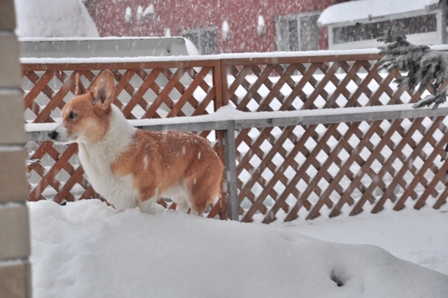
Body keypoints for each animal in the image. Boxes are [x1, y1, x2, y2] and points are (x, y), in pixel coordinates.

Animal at [49, 70, 224, 214]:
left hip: (196, 192)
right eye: (63, 115)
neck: (102, 144)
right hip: (177, 193)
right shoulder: (121, 201)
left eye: (73, 115)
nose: (50, 134)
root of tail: (210, 147)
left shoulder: (146, 194)